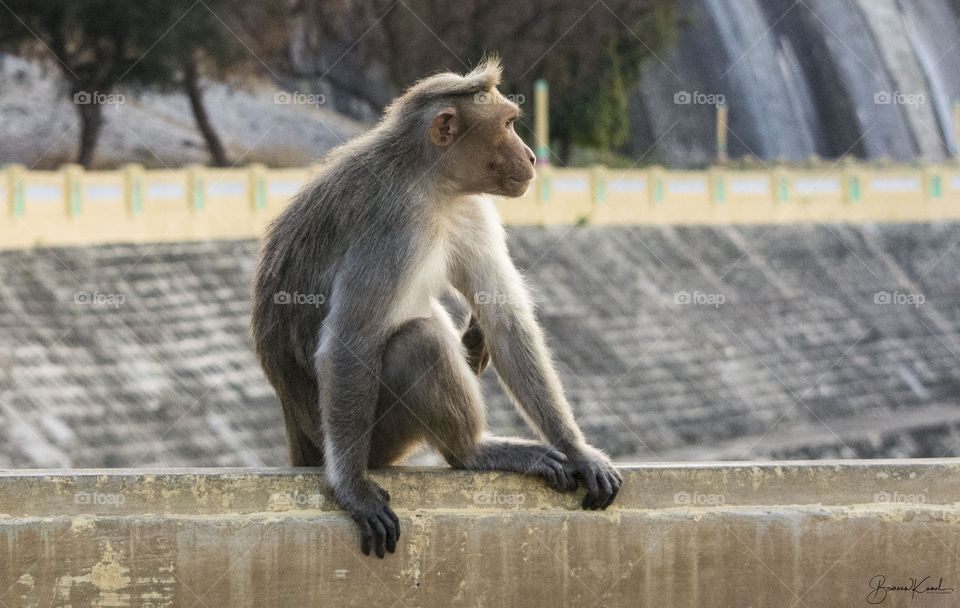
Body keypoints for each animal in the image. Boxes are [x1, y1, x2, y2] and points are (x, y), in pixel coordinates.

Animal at [252, 57, 621, 558]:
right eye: (508, 124)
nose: (530, 156)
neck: (431, 182)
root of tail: (301, 438)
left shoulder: (468, 206)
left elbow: (505, 318)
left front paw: (578, 448)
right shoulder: (393, 225)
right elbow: (350, 343)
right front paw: (351, 490)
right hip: (379, 440)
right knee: (418, 342)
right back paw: (472, 452)